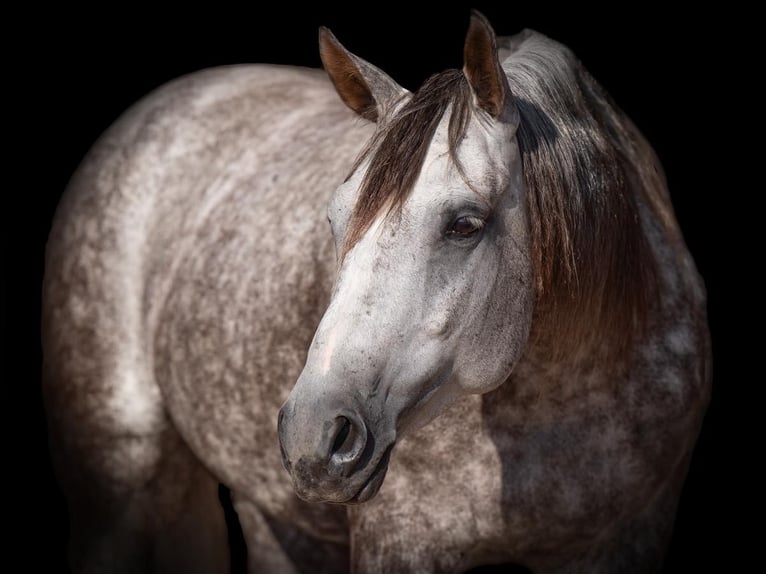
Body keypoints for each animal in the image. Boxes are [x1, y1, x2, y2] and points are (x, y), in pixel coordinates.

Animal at [43, 10, 712, 574]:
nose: (313, 437)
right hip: (119, 493)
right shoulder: (403, 546)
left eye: (465, 223)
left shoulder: (626, 543)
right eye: (336, 220)